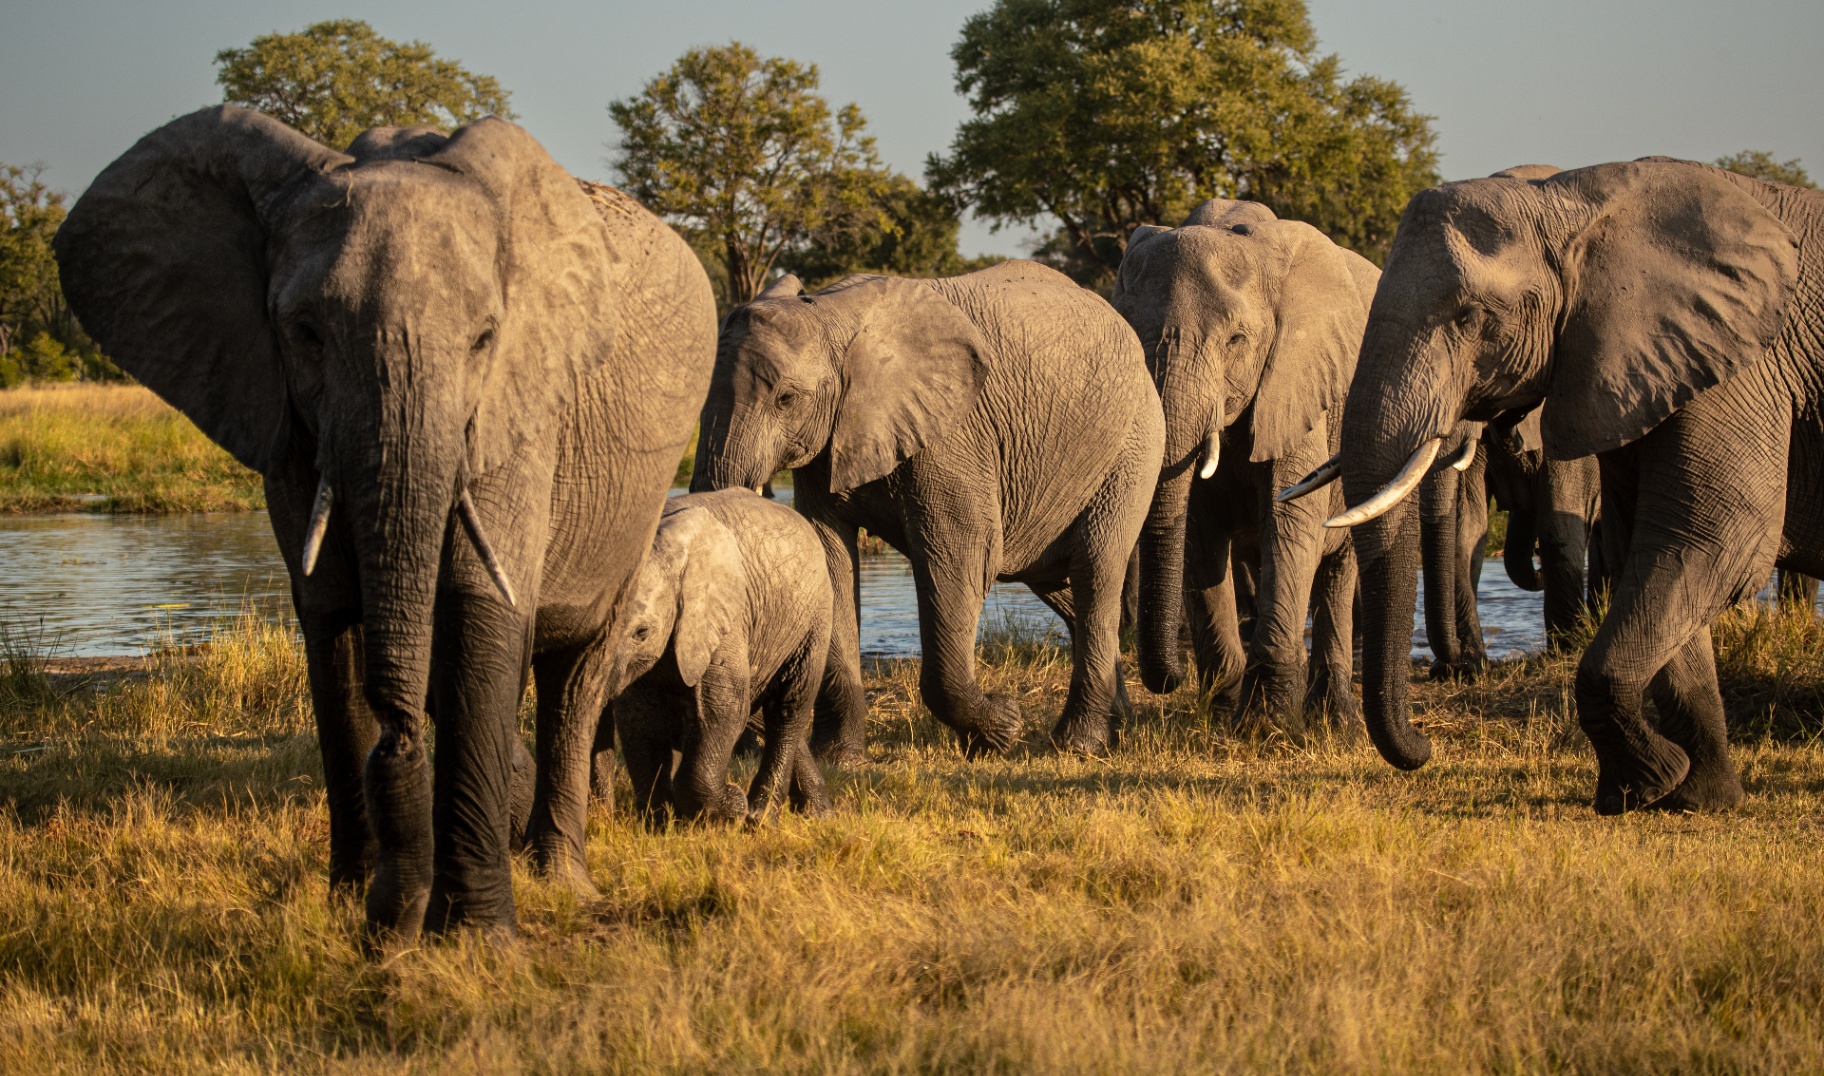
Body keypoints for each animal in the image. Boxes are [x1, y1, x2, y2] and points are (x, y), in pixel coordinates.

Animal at [53, 107, 716, 936]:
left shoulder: (519, 412)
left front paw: (476, 937)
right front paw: (355, 907)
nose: (397, 746)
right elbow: (332, 619)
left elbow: (477, 611)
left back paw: (560, 881)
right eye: (304, 332)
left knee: (578, 672)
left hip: (637, 505)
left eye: (484, 338)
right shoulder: (285, 423)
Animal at [606, 489, 833, 823]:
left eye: (642, 632)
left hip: (812, 619)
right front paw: (661, 823)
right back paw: (818, 813)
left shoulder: (724, 616)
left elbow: (721, 709)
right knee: (755, 709)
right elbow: (639, 719)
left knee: (787, 708)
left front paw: (733, 807)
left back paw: (762, 817)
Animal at [691, 263, 1165, 758]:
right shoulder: (829, 444)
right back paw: (1119, 724)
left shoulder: (953, 435)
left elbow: (963, 555)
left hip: (1133, 445)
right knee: (1063, 587)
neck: (829, 316)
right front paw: (840, 760)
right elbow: (832, 561)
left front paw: (1001, 731)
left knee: (1094, 571)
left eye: (786, 399)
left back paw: (1078, 744)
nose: (745, 745)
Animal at [1111, 198, 1368, 730]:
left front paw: (1268, 725)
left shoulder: (1298, 379)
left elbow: (1290, 518)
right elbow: (1197, 532)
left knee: (1337, 570)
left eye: (1235, 340)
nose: (1171, 678)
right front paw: (1225, 713)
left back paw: (1336, 722)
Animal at [1299, 156, 1823, 814]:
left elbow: (1714, 543)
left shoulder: (1739, 366)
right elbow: (1650, 551)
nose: (1426, 746)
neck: (1573, 201)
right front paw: (1692, 796)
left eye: (1471, 318)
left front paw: (1648, 783)